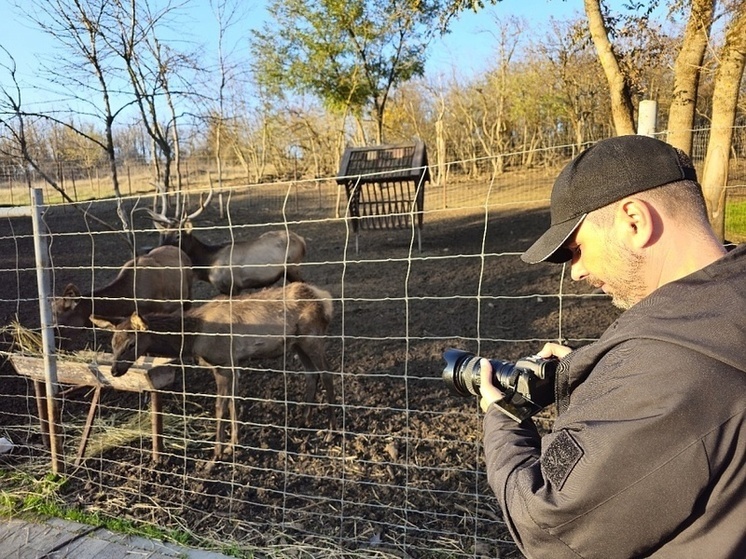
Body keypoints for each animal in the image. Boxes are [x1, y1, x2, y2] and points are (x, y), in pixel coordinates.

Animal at [91, 282, 336, 462]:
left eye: (131, 344)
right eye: (113, 342)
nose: (114, 370)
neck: (193, 339)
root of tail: (325, 299)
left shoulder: (223, 363)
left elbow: (220, 406)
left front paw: (217, 453)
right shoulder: (234, 363)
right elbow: (235, 402)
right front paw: (233, 444)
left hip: (312, 337)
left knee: (327, 375)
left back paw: (331, 432)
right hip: (297, 344)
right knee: (311, 374)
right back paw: (304, 420)